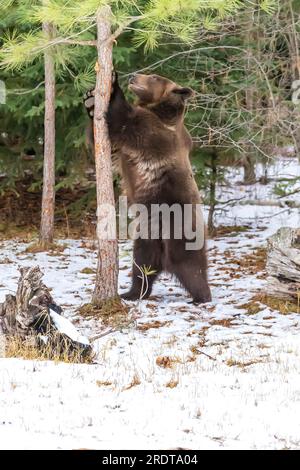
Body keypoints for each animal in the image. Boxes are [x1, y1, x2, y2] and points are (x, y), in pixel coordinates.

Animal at [84, 71, 211, 302]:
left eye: (154, 77)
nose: (134, 76)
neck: (159, 111)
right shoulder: (126, 149)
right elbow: (107, 143)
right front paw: (90, 101)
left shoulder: (155, 133)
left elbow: (123, 122)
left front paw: (113, 83)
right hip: (148, 236)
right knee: (142, 266)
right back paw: (132, 292)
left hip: (179, 226)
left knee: (190, 265)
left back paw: (201, 296)